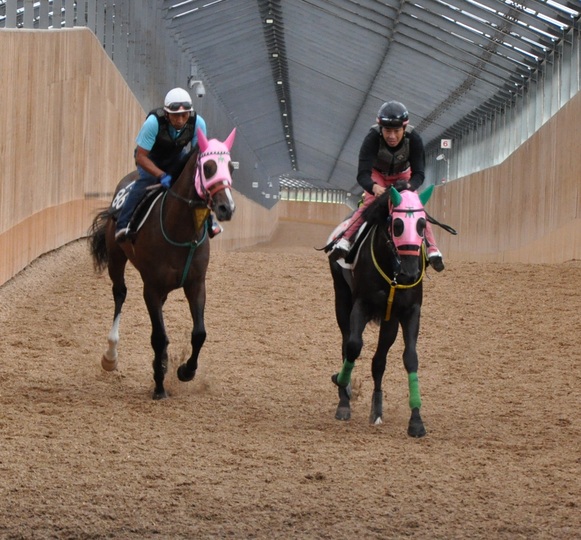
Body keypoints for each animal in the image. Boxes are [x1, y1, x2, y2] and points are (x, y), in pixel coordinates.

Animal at [88, 128, 236, 400]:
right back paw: (111, 356)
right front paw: (159, 384)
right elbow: (159, 337)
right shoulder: (152, 288)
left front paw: (185, 371)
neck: (180, 230)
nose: (226, 207)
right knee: (120, 293)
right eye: (208, 167)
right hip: (116, 256)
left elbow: (199, 333)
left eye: (230, 167)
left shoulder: (196, 284)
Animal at [327, 184, 434, 437]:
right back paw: (344, 398)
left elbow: (410, 358)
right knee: (346, 343)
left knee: (378, 361)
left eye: (422, 225)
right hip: (341, 297)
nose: (410, 273)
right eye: (397, 225)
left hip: (389, 322)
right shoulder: (362, 304)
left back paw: (376, 411)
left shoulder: (408, 311)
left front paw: (416, 420)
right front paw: (341, 385)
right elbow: (353, 346)